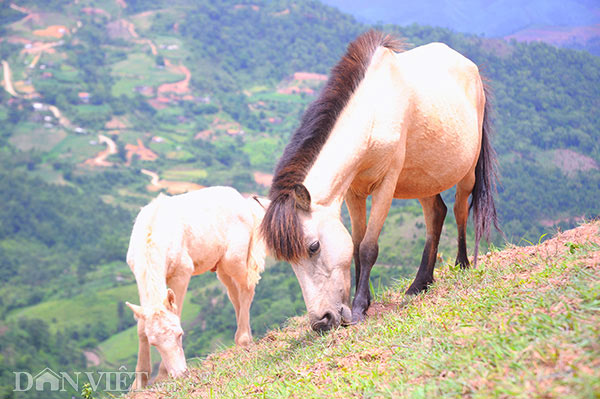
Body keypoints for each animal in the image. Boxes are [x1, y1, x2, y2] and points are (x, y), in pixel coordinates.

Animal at [260, 30, 500, 332]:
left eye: (313, 247)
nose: (322, 322)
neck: (374, 109)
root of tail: (472, 68)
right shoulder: (353, 193)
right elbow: (355, 246)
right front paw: (360, 303)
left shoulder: (385, 185)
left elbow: (367, 248)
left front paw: (359, 308)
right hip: (422, 179)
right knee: (436, 213)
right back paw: (420, 284)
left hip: (466, 172)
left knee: (458, 211)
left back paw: (464, 264)